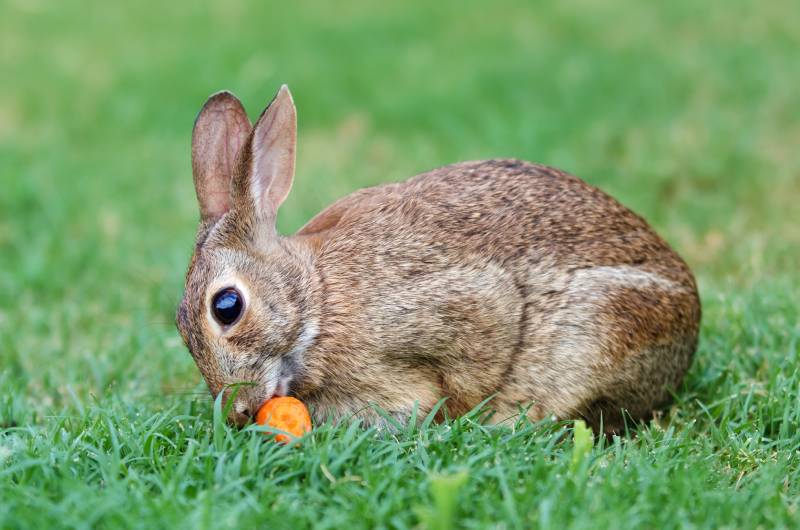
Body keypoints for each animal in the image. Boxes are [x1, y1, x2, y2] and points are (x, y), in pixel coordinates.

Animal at [177, 84, 700, 432]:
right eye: (181, 327)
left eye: (227, 307)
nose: (238, 412)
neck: (315, 300)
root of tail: (690, 323)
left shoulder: (460, 306)